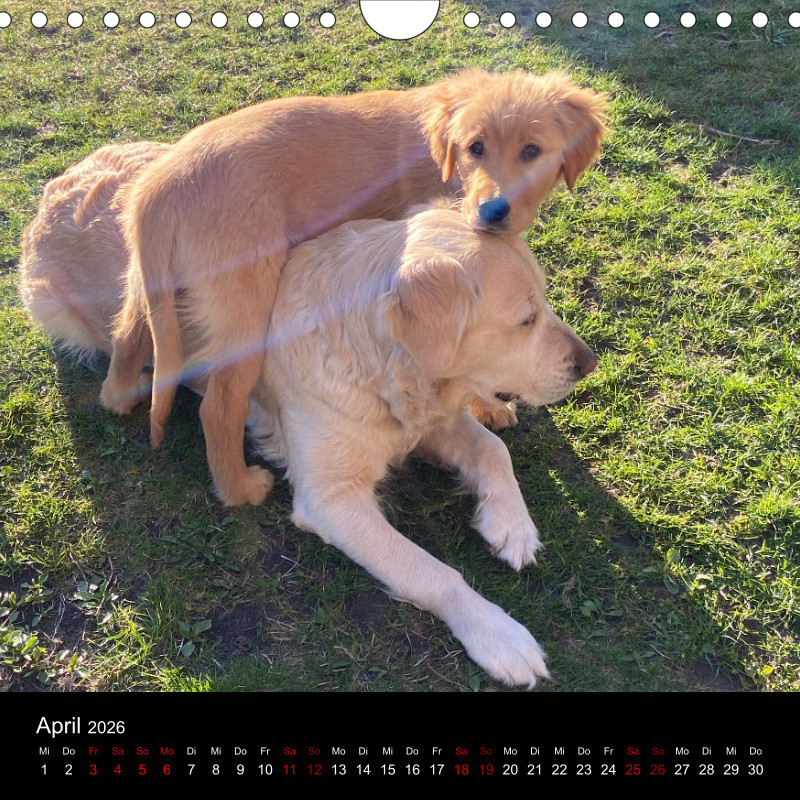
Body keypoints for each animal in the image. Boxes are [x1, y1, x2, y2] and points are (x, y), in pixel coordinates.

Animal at [19, 150, 597, 686]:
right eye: (525, 319)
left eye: (545, 303)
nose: (588, 363)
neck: (375, 357)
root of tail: (60, 183)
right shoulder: (331, 499)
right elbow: (431, 572)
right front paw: (500, 635)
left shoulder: (419, 422)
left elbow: (491, 451)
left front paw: (512, 526)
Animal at [101, 69, 606, 506]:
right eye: (475, 147)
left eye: (532, 150)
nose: (491, 212)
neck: (443, 159)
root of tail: (158, 189)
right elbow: (468, 349)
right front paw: (489, 404)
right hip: (246, 305)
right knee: (220, 404)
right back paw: (241, 489)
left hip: (148, 284)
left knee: (125, 336)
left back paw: (122, 393)